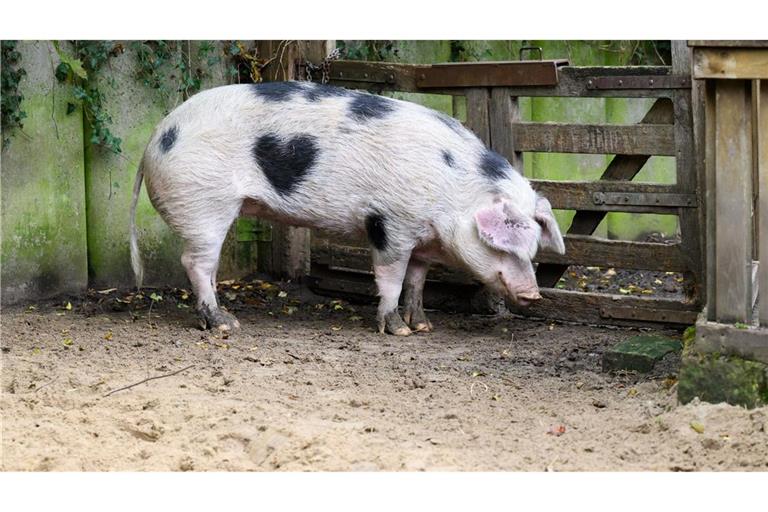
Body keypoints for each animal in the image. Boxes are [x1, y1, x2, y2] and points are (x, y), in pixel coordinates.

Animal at [130, 80, 565, 335]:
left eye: (533, 250)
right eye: (502, 247)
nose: (534, 294)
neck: (452, 188)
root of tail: (155, 139)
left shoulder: (422, 239)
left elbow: (417, 280)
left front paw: (423, 326)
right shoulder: (390, 224)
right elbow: (391, 278)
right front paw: (398, 331)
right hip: (204, 203)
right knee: (195, 263)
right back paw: (225, 325)